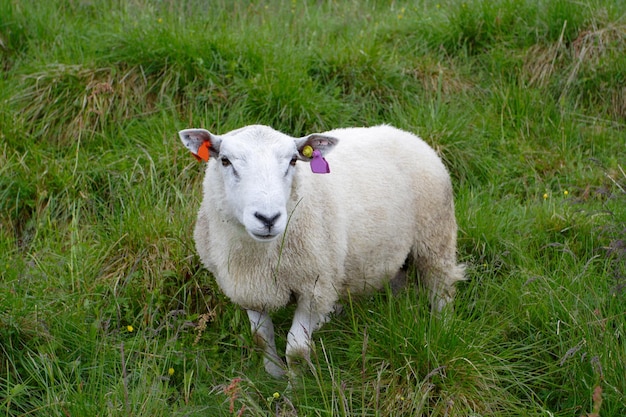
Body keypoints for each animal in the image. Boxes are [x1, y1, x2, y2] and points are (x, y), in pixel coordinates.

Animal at [178, 123, 460, 376]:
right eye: (225, 161)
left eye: (293, 161)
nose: (268, 218)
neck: (260, 257)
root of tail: (406, 133)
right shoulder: (248, 287)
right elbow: (260, 337)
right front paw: (274, 374)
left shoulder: (316, 288)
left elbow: (297, 351)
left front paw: (295, 391)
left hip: (435, 236)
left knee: (442, 288)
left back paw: (443, 329)